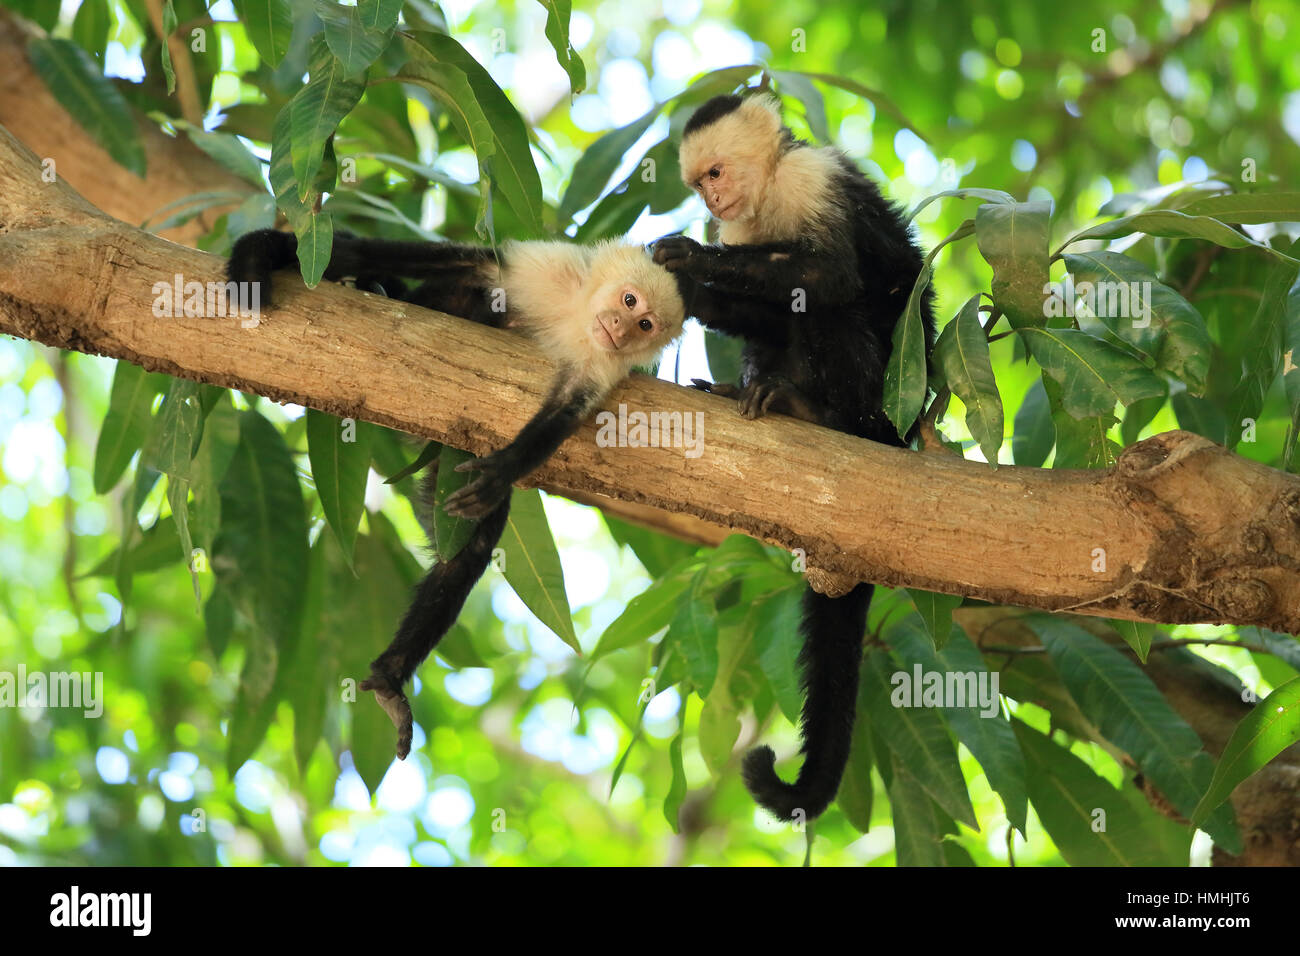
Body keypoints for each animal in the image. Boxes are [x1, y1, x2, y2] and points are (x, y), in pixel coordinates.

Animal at [227, 231, 686, 754]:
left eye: (645, 324)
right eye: (629, 301)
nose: (620, 329)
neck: (578, 319)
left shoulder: (602, 368)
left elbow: (561, 419)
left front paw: (502, 472)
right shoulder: (547, 267)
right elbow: (462, 264)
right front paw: (265, 254)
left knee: (466, 550)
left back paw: (390, 677)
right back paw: (380, 290)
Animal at [650, 91, 935, 822]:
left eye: (714, 172)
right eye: (699, 183)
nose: (710, 199)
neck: (768, 195)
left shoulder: (815, 178)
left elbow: (826, 275)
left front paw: (689, 261)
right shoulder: (739, 230)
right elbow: (765, 312)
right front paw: (697, 294)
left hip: (889, 399)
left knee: (837, 305)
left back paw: (827, 417)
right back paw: (754, 391)